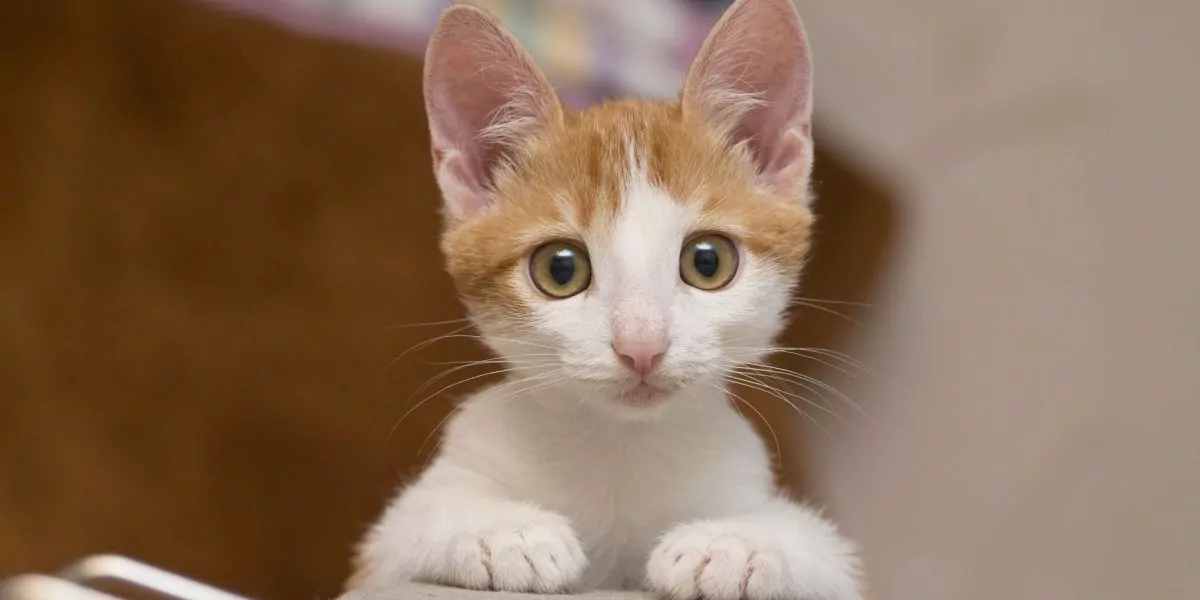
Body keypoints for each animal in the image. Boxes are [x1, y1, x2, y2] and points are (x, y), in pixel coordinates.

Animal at [348, 1, 864, 600]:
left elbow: (823, 546)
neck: (621, 448)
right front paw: (502, 531)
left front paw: (735, 544)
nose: (641, 346)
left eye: (708, 261)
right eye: (560, 268)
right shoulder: (385, 544)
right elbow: (411, 522)